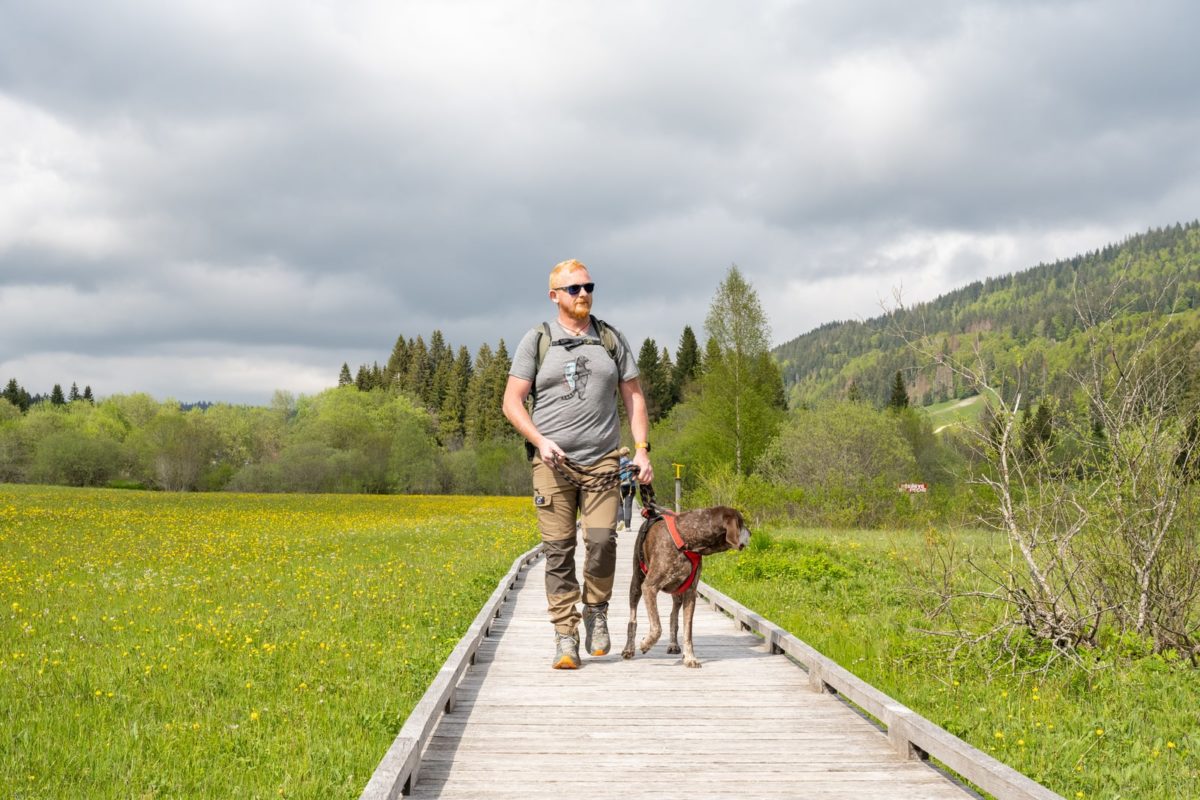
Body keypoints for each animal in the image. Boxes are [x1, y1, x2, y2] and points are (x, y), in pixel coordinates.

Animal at [624, 506, 744, 671]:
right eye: (742, 523)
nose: (751, 533)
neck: (686, 542)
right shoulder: (649, 587)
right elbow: (656, 627)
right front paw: (645, 644)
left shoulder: (690, 593)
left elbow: (688, 631)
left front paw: (690, 658)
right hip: (636, 583)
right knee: (633, 619)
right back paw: (629, 649)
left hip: (677, 592)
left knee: (673, 616)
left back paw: (673, 644)